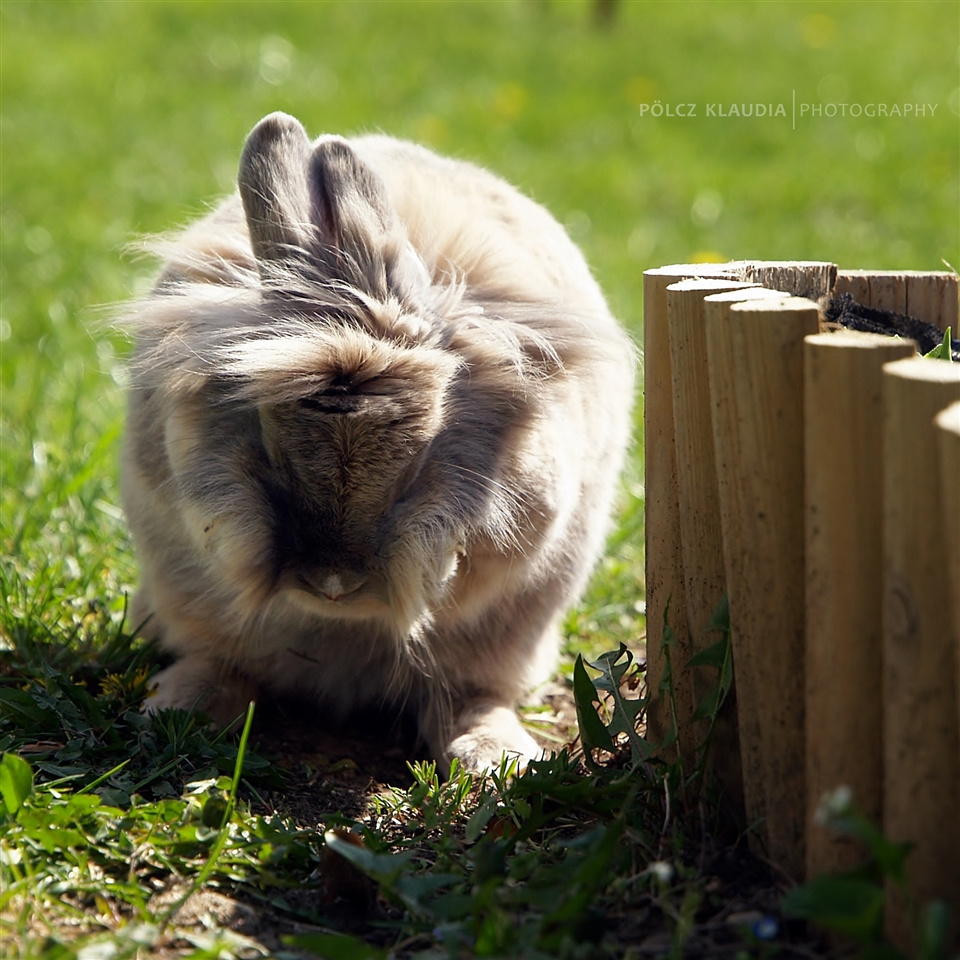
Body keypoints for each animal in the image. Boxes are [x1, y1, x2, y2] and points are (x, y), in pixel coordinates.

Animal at [122, 112, 636, 772]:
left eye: (416, 469)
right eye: (271, 454)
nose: (332, 585)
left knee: (469, 696)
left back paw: (495, 757)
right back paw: (177, 709)